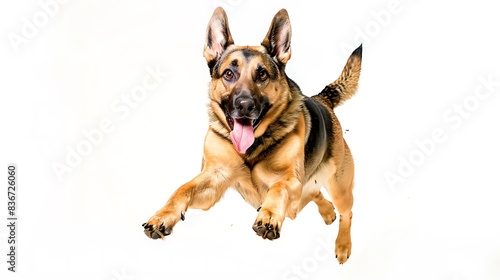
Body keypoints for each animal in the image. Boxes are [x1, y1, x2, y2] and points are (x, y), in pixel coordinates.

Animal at [143, 7, 362, 264]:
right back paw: (327, 212)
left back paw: (343, 245)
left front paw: (268, 216)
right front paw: (163, 215)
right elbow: (182, 189)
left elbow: (278, 188)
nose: (245, 105)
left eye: (262, 75)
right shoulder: (214, 179)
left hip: (339, 188)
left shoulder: (292, 180)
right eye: (229, 73)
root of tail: (323, 99)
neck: (250, 149)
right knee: (314, 194)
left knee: (346, 212)